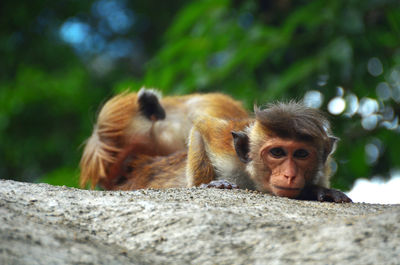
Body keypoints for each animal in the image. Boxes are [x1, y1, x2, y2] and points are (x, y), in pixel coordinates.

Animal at [108, 101, 352, 202]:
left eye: (301, 154)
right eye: (277, 153)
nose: (289, 175)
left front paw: (318, 191)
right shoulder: (225, 147)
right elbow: (201, 129)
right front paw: (209, 184)